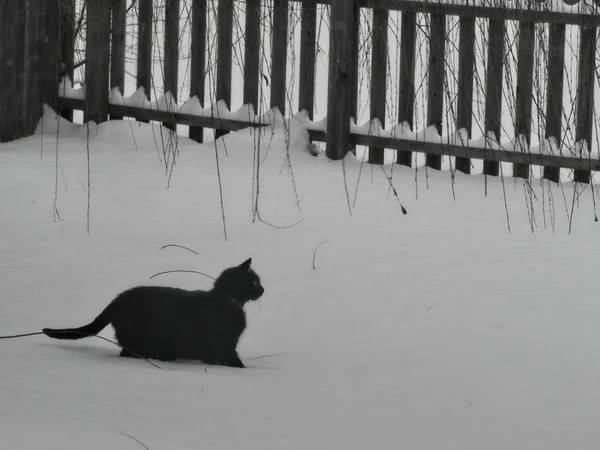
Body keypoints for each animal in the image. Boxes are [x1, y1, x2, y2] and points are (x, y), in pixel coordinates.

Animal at [43, 258, 264, 368]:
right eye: (254, 282)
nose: (263, 289)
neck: (226, 300)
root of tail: (119, 299)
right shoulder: (224, 346)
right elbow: (234, 362)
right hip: (138, 339)